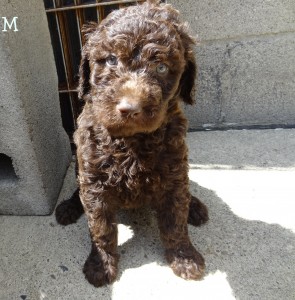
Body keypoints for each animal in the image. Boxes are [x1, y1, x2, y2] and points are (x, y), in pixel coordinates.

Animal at [55, 0, 208, 288]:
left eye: (161, 67)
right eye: (111, 60)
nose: (129, 109)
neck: (130, 140)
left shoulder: (173, 170)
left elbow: (175, 218)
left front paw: (184, 257)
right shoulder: (94, 180)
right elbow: (100, 227)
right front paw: (100, 265)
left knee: (185, 192)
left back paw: (194, 206)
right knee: (78, 191)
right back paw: (69, 207)